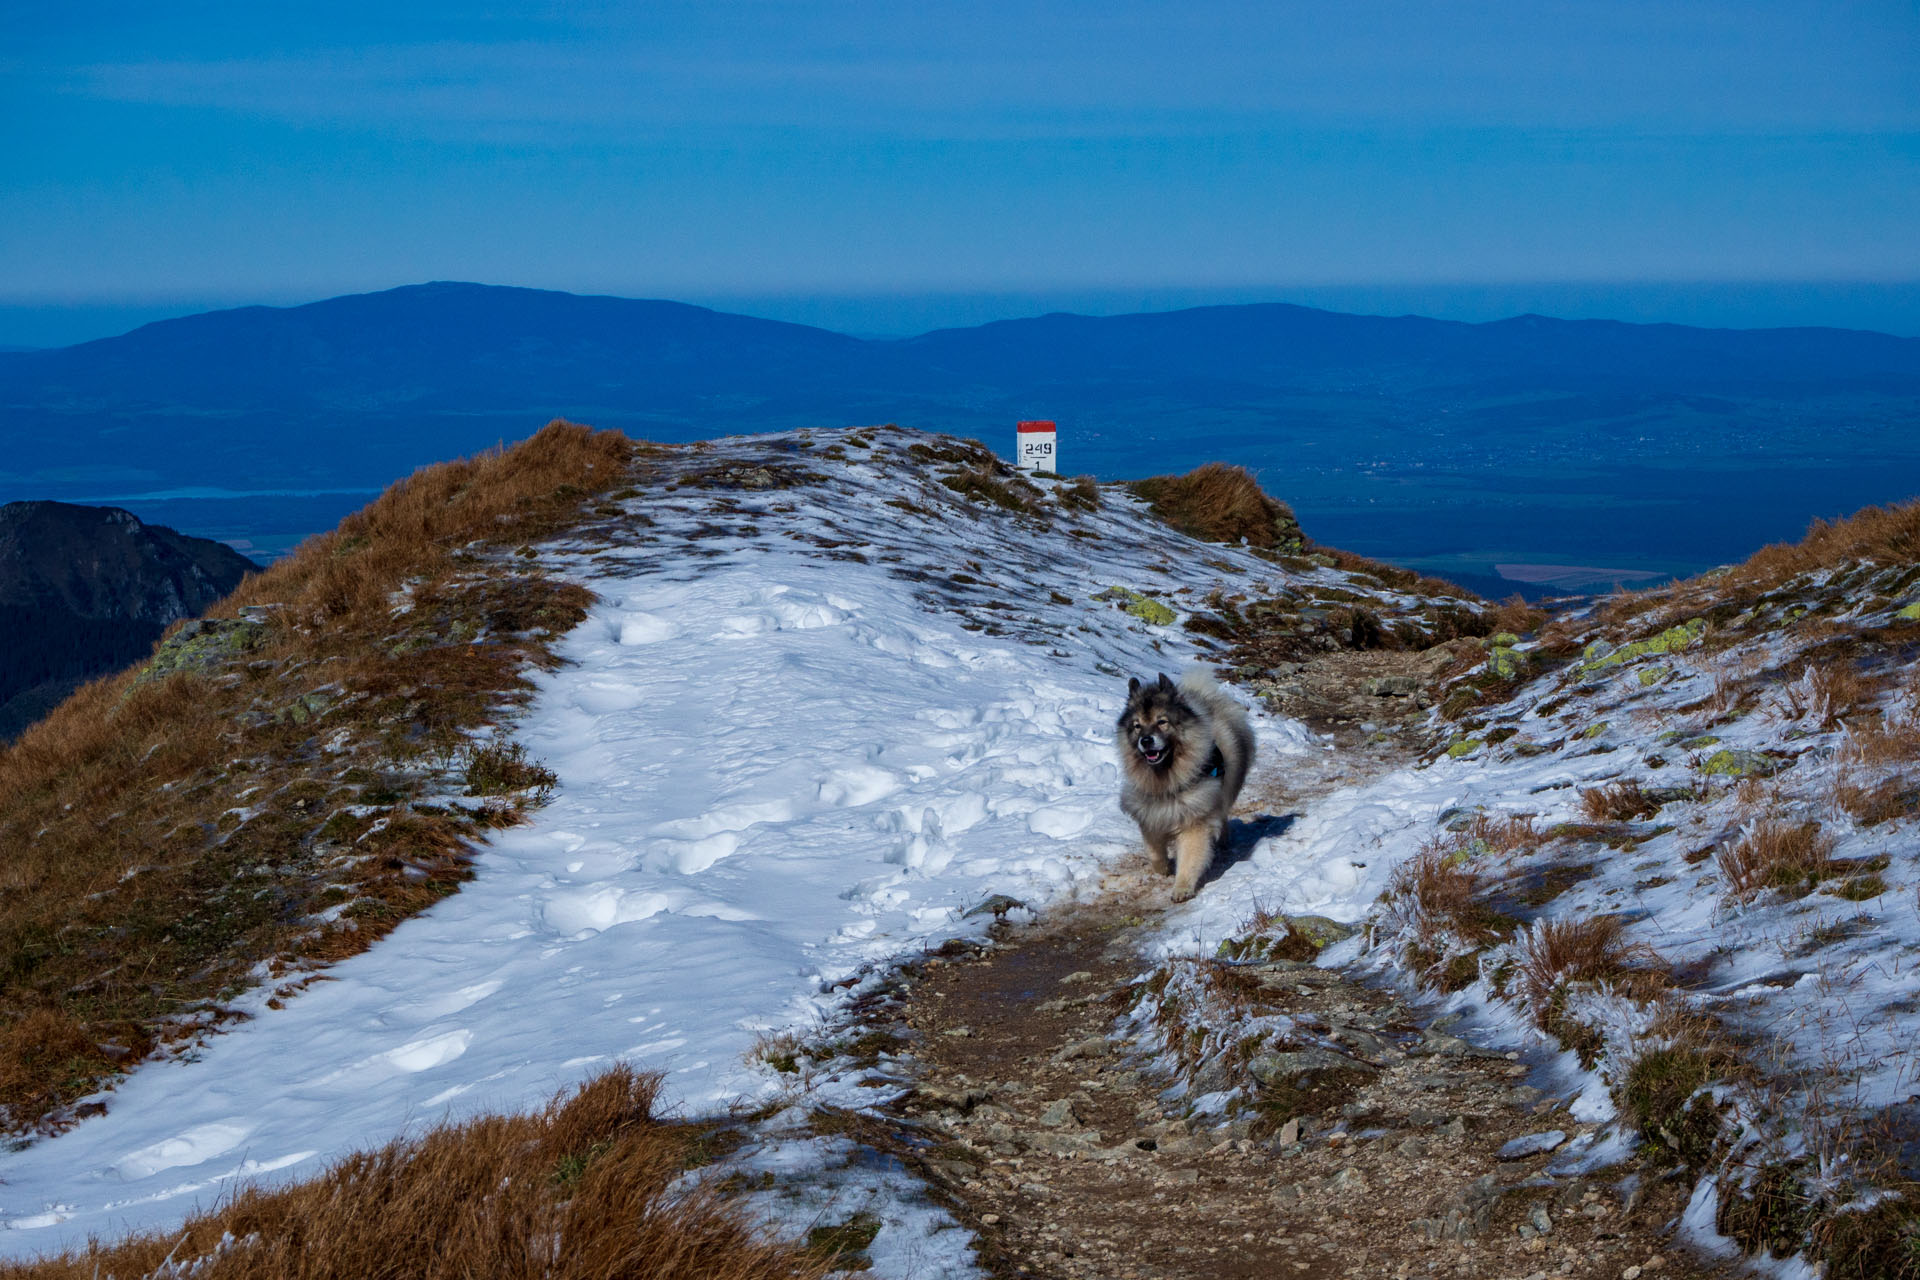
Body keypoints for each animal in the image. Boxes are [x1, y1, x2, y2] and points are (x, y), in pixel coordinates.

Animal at [1113, 671, 1259, 901]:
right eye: (1137, 725)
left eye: (1162, 722)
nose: (1146, 740)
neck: (1167, 779)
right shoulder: (1151, 814)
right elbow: (1154, 853)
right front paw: (1163, 869)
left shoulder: (1194, 819)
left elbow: (1190, 858)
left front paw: (1181, 888)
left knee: (1223, 813)